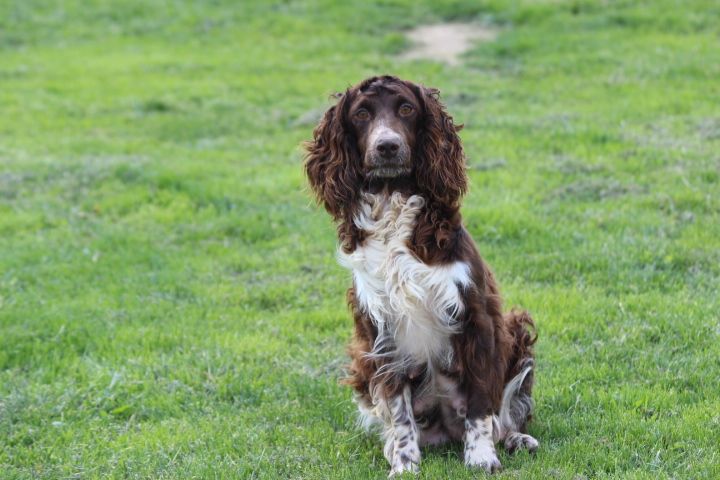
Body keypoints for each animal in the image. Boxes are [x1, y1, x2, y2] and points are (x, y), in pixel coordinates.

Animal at [306, 76, 540, 476]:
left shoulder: (477, 318)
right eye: (361, 114)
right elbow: (399, 414)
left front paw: (481, 457)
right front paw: (404, 463)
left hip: (517, 333)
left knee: (503, 416)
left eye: (406, 109)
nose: (387, 146)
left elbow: (481, 402)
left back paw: (515, 439)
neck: (392, 204)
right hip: (362, 366)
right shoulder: (379, 331)